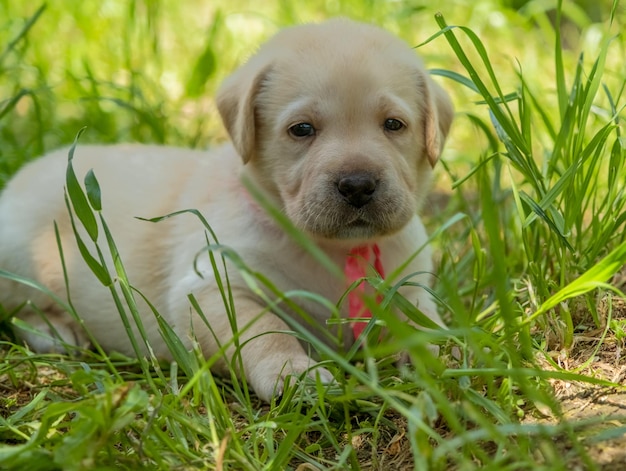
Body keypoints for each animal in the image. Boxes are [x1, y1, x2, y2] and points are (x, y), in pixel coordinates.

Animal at [0, 19, 450, 402]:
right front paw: (293, 373)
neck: (332, 249)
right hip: (21, 256)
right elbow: (265, 331)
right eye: (302, 129)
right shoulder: (213, 285)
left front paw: (444, 351)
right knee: (21, 310)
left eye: (393, 125)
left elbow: (421, 318)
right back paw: (57, 331)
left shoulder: (409, 282)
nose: (357, 185)